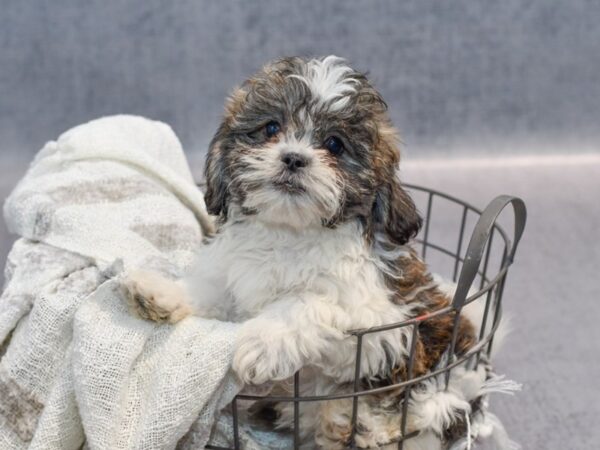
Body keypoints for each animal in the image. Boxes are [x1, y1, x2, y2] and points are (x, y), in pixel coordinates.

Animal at [124, 57, 476, 450]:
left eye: (335, 144)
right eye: (271, 128)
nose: (294, 158)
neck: (290, 232)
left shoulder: (385, 326)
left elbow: (309, 302)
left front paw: (263, 340)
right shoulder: (236, 275)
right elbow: (212, 290)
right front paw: (162, 291)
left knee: (432, 405)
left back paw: (366, 426)